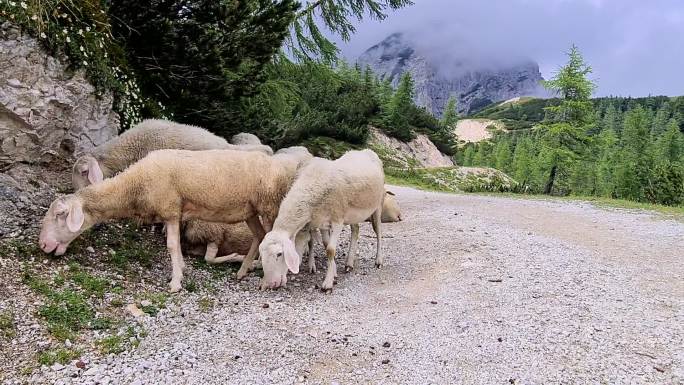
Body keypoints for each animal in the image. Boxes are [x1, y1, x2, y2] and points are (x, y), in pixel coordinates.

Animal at [38, 147, 312, 292]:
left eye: (60, 215)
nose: (42, 245)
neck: (135, 186)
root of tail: (282, 165)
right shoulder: (175, 213)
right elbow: (176, 246)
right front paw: (181, 270)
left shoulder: (170, 209)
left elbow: (171, 246)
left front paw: (176, 281)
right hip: (250, 210)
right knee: (259, 236)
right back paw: (244, 270)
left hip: (270, 205)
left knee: (280, 238)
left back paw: (272, 275)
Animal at [258, 148, 384, 290]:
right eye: (261, 254)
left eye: (279, 254)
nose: (271, 284)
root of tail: (365, 150)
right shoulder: (320, 221)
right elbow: (323, 243)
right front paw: (333, 272)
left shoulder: (337, 220)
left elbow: (330, 249)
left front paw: (328, 283)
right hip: (354, 213)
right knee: (355, 230)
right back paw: (349, 263)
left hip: (378, 204)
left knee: (378, 231)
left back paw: (378, 261)